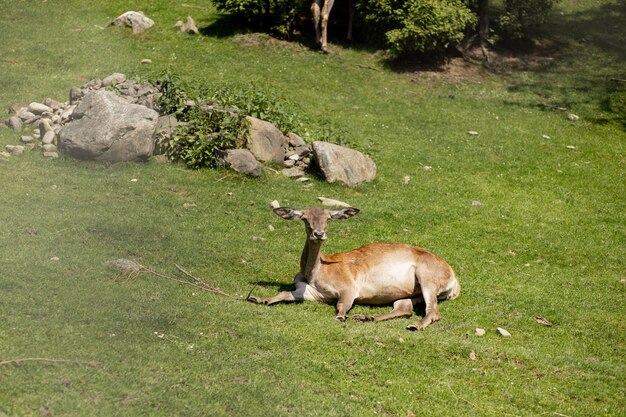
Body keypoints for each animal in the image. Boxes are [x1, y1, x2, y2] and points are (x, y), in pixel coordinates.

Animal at [247, 206, 458, 330]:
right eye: (305, 218)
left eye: (329, 218)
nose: (319, 234)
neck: (315, 273)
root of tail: (455, 281)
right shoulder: (310, 292)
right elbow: (285, 293)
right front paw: (258, 298)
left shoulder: (348, 287)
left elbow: (343, 303)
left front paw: (340, 317)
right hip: (410, 293)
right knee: (404, 308)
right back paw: (365, 317)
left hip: (428, 276)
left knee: (433, 310)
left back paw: (415, 325)